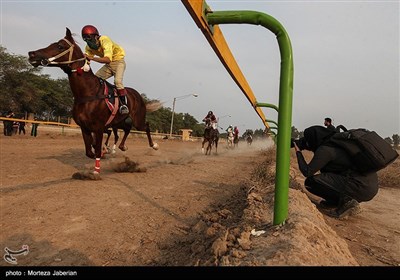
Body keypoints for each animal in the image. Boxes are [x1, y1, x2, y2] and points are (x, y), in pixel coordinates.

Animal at [27, 28, 161, 176]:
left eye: (60, 46)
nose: (32, 54)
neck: (88, 93)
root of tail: (138, 96)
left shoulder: (98, 127)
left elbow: (96, 149)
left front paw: (96, 170)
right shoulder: (84, 127)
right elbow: (90, 151)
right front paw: (104, 152)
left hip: (137, 120)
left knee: (146, 126)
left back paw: (154, 145)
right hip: (120, 122)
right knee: (126, 130)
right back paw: (121, 147)